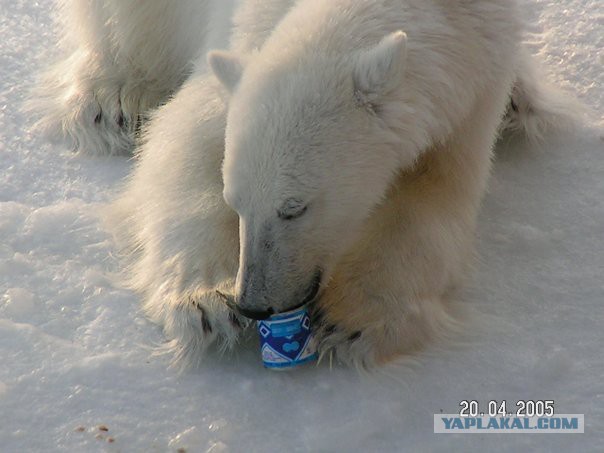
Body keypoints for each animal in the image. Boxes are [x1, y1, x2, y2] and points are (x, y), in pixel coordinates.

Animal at [35, 0, 580, 368]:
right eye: (235, 202)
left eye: (294, 207)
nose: (254, 302)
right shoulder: (246, 49)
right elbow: (186, 142)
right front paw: (206, 304)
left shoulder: (472, 81)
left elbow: (433, 195)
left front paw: (350, 320)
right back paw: (114, 100)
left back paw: (523, 101)